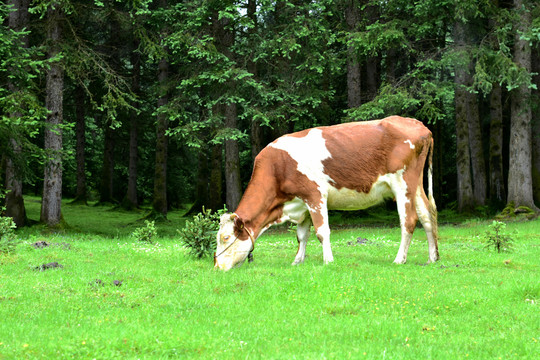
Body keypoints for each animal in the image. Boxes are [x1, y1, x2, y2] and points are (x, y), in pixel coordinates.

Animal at [214, 116, 438, 272]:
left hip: (402, 184)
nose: (217, 267)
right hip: (415, 186)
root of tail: (419, 125)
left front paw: (328, 261)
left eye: (225, 237)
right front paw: (297, 261)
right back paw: (433, 258)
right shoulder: (301, 203)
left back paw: (400, 259)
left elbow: (322, 232)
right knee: (427, 216)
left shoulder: (315, 195)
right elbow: (301, 235)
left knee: (409, 220)